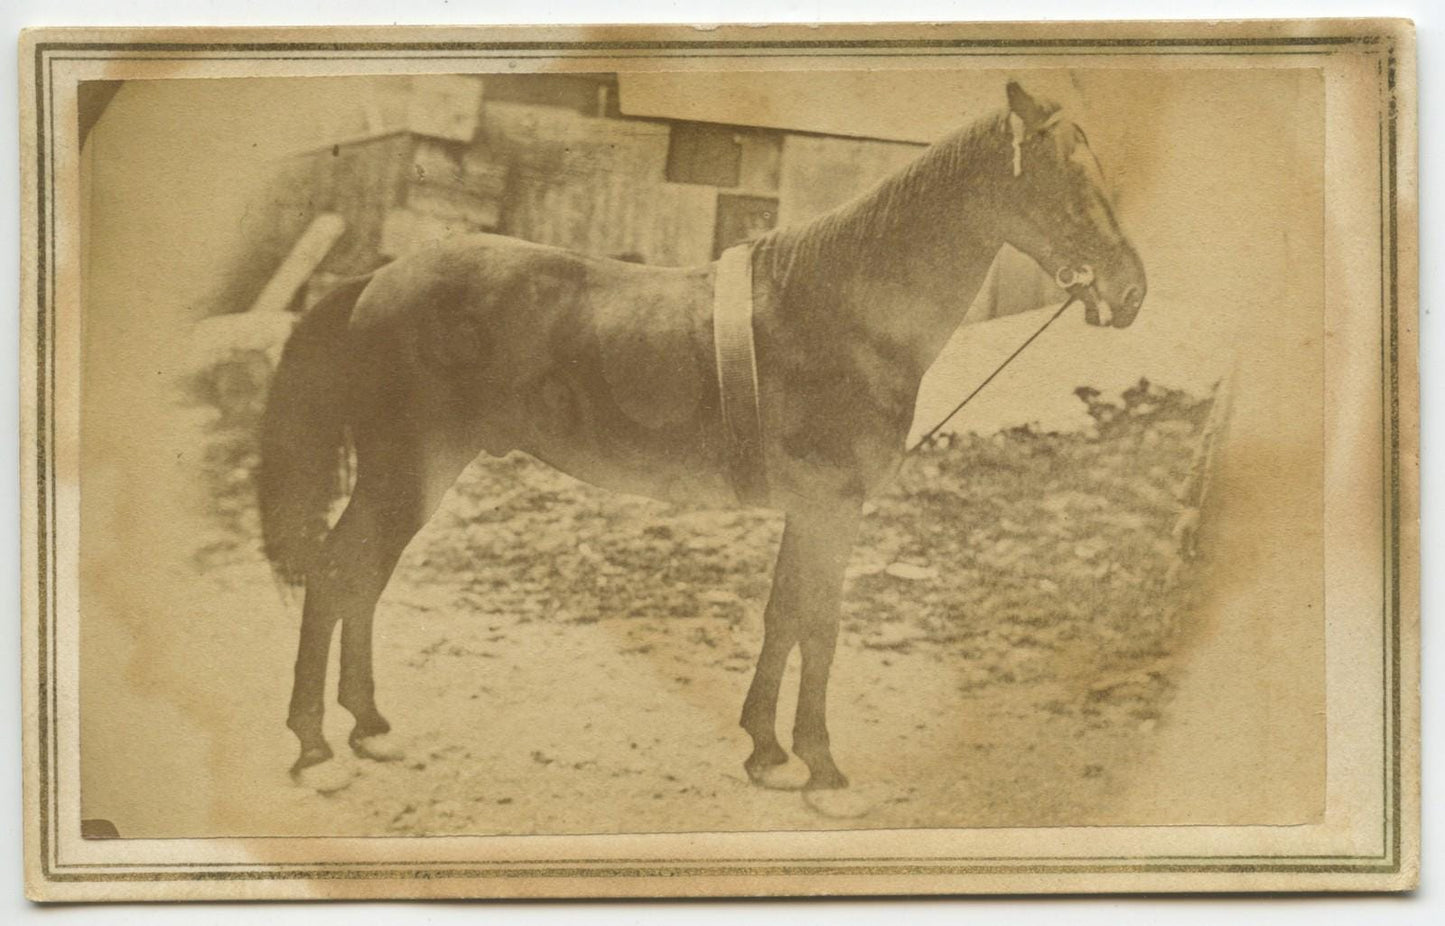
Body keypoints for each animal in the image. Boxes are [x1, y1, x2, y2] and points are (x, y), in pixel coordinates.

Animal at [256, 81, 1146, 795]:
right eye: (1066, 176)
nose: (1130, 289)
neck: (841, 311)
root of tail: (377, 278)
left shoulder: (808, 512)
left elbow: (782, 616)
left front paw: (766, 753)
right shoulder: (832, 509)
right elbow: (820, 627)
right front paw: (823, 769)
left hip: (415, 477)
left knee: (361, 583)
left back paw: (368, 728)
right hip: (406, 472)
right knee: (336, 579)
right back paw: (315, 750)